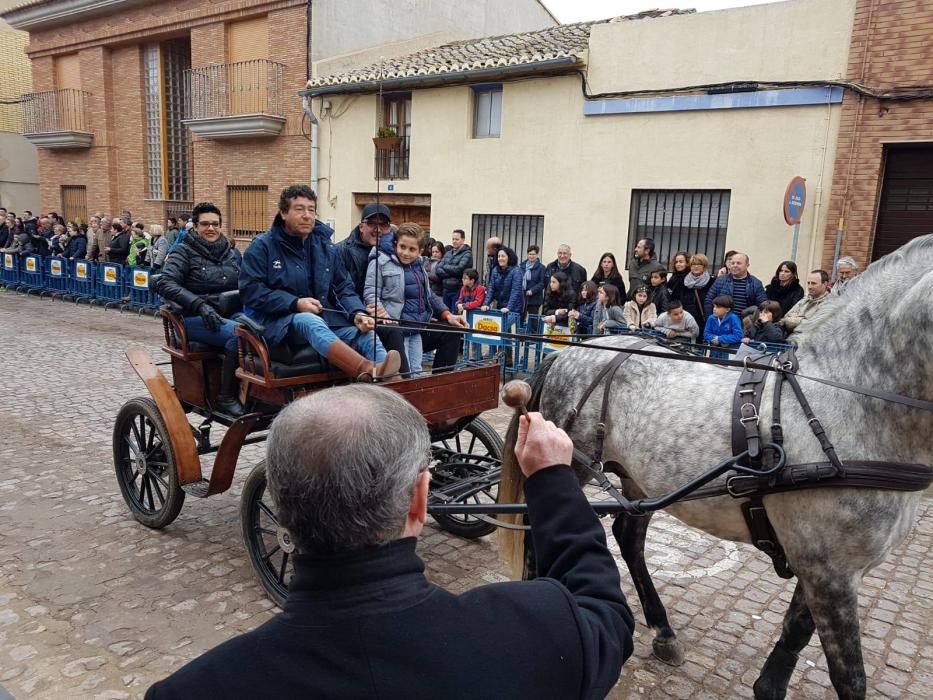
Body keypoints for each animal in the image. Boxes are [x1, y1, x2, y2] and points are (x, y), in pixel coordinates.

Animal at [502, 234, 932, 696]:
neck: (848, 401)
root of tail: (570, 355)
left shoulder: (825, 565)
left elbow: (795, 633)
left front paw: (769, 684)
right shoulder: (829, 572)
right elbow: (848, 675)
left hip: (640, 481)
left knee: (628, 537)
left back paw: (663, 629)